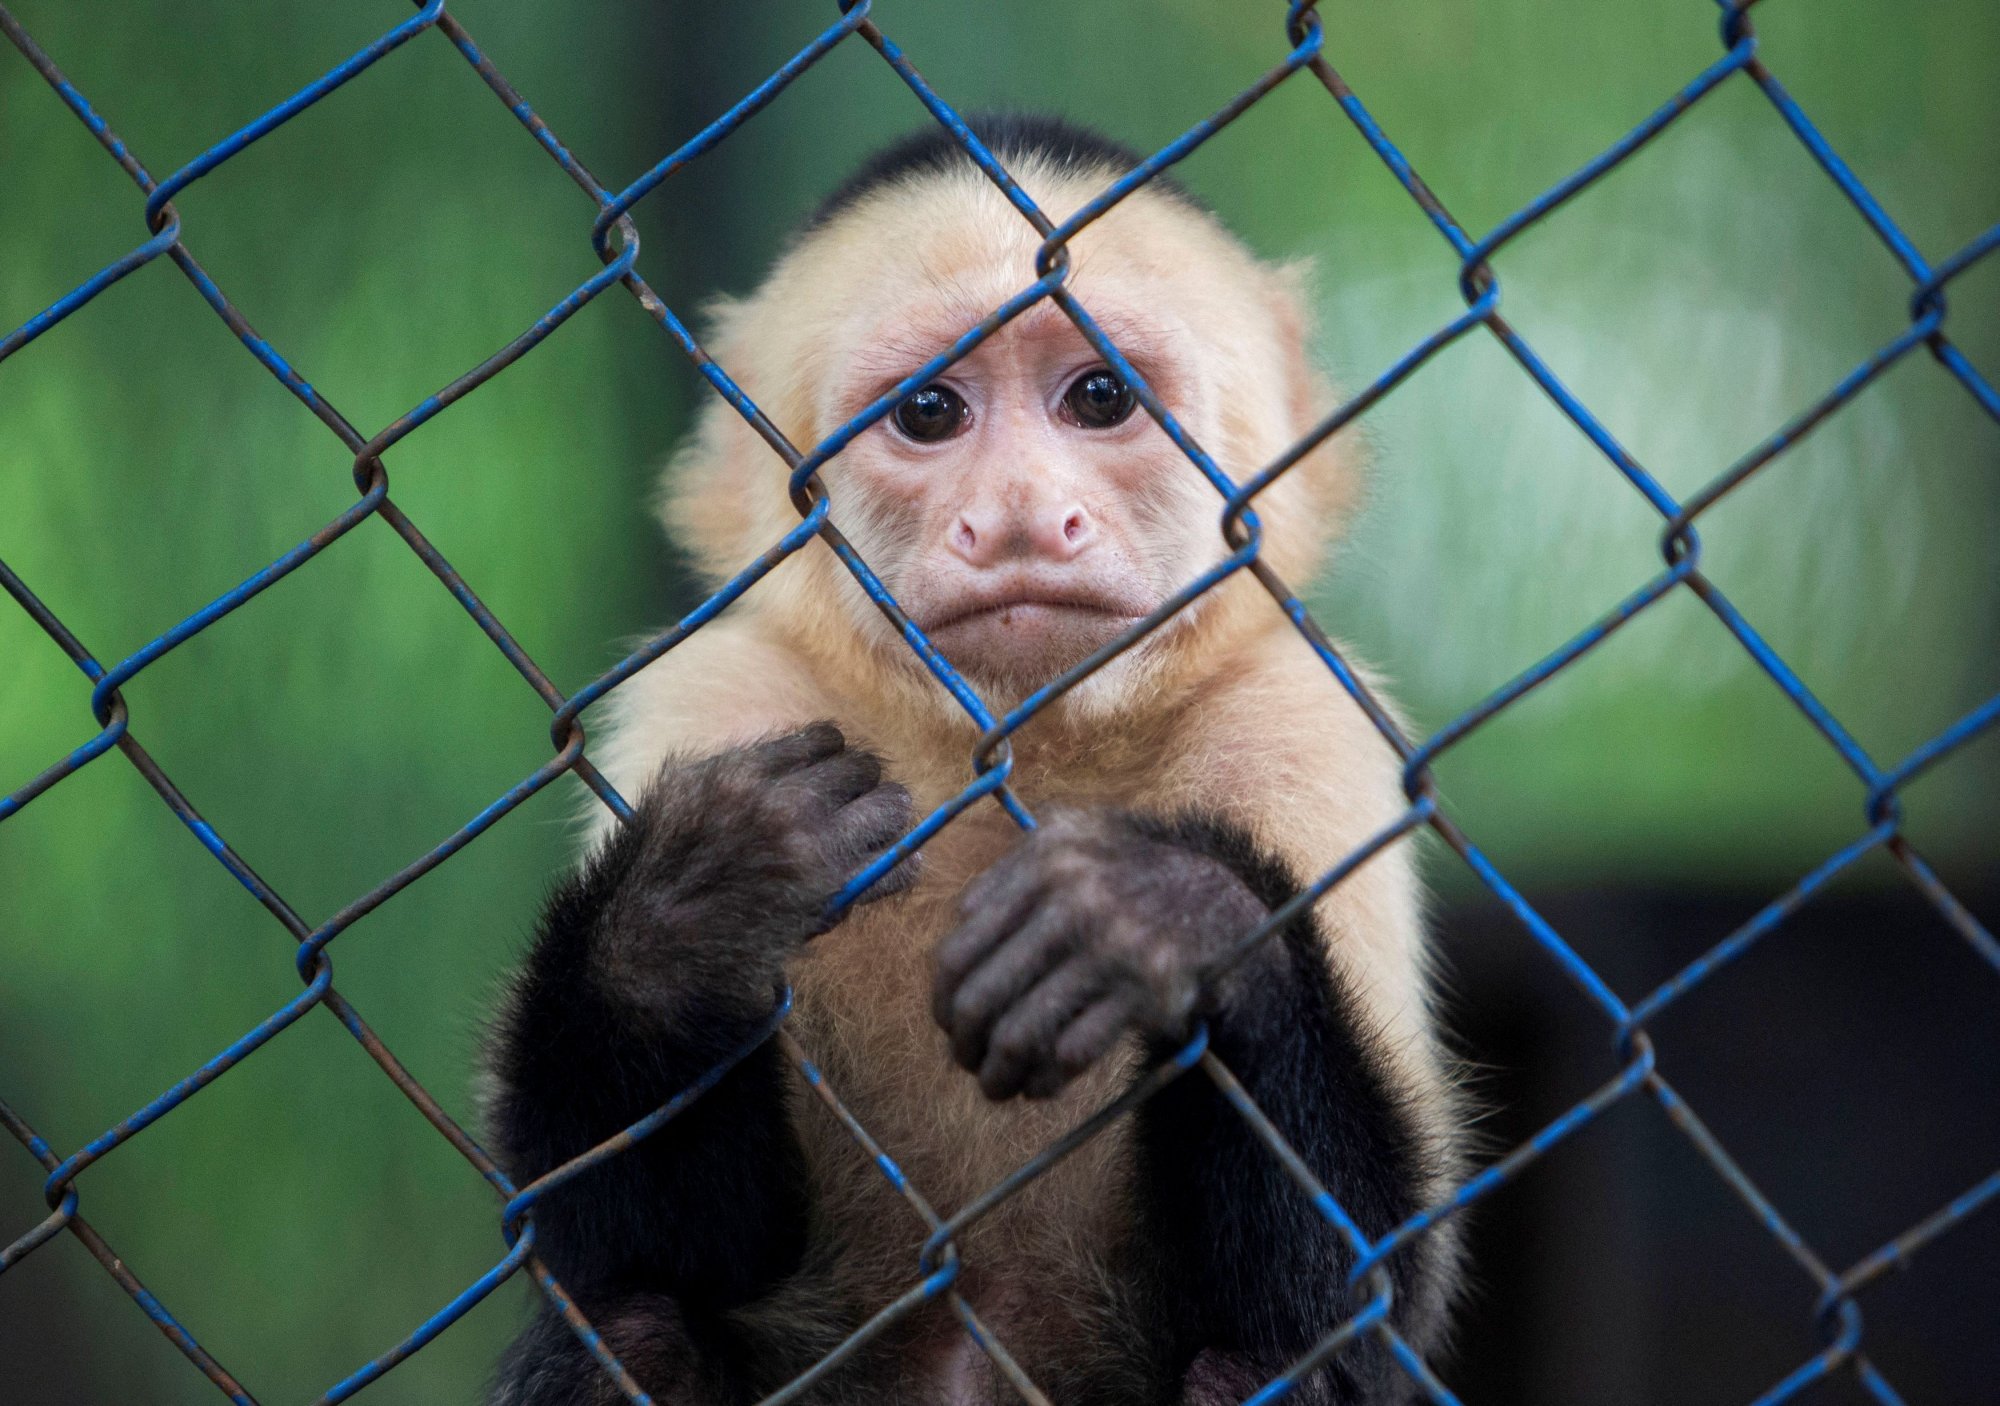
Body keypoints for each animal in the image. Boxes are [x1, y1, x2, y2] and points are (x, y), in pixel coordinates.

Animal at [482, 115, 1456, 1400]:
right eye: (930, 413)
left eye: (1099, 395)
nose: (1019, 516)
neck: (1016, 750)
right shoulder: (717, 693)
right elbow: (644, 1237)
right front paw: (685, 903)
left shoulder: (1304, 720)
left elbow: (1360, 1284)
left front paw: (1161, 914)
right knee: (630, 1322)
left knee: (1269, 1365)